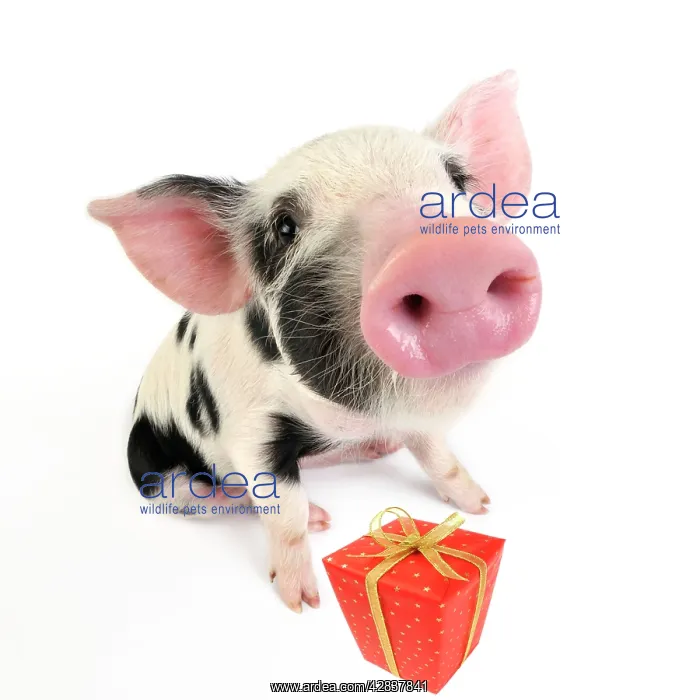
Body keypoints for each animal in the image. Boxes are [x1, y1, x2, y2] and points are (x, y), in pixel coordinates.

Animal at [88, 70, 541, 612]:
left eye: (457, 183)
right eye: (284, 228)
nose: (447, 254)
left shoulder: (412, 416)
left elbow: (439, 458)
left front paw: (484, 505)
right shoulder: (250, 431)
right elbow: (285, 513)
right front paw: (302, 601)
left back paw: (377, 449)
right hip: (163, 477)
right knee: (209, 496)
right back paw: (319, 514)